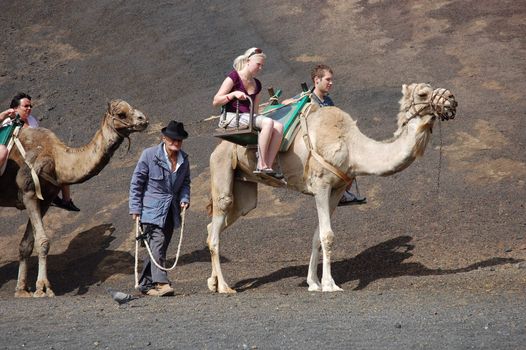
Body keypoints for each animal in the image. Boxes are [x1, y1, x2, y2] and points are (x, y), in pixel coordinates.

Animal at [0, 100, 148, 296]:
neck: (56, 158)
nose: (143, 119)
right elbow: (43, 241)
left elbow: (26, 244)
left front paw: (22, 290)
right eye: (121, 114)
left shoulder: (45, 200)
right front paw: (43, 288)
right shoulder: (28, 193)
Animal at [206, 82, 458, 292]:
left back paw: (213, 282)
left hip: (245, 192)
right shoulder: (321, 185)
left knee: (216, 225)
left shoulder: (336, 191)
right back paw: (225, 288)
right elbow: (327, 235)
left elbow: (317, 236)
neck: (352, 147)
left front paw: (313, 283)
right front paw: (329, 285)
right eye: (423, 93)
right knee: (218, 222)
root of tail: (217, 147)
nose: (452, 99)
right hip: (221, 167)